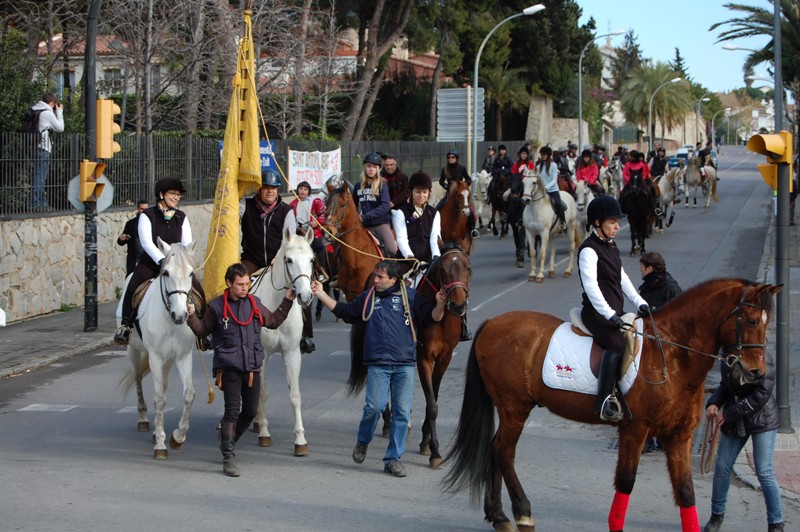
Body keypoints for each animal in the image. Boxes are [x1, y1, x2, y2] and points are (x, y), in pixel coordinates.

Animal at [119, 239, 197, 460]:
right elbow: (159, 398)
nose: (180, 315)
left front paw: (177, 437)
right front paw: (161, 445)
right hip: (134, 351)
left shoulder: (183, 356)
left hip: (167, 361)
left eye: (191, 274)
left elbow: (188, 394)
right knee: (138, 379)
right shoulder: (155, 356)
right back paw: (144, 420)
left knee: (164, 384)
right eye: (166, 273)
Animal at [250, 229, 316, 458]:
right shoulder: (261, 356)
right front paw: (264, 433)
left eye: (311, 259)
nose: (305, 295)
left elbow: (295, 395)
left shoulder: (292, 353)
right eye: (289, 260)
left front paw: (301, 441)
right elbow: (262, 393)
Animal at [440, 278, 780, 532]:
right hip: (515, 408)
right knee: (502, 451)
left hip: (508, 408)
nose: (757, 373)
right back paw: (523, 513)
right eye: (751, 320)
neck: (672, 355)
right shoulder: (636, 429)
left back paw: (499, 516)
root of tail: (492, 323)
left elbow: (685, 491)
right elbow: (626, 481)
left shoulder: (678, 435)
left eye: (767, 323)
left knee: (495, 450)